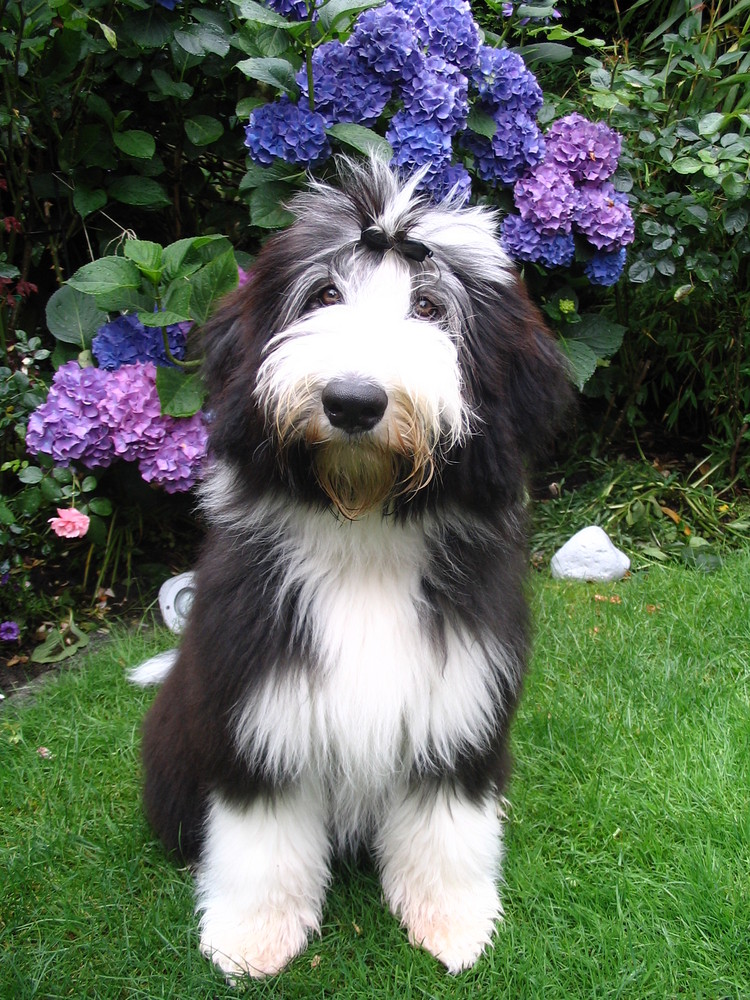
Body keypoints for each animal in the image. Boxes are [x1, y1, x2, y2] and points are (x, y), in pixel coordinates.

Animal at [134, 156, 568, 976]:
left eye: (429, 307)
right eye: (324, 295)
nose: (353, 401)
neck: (363, 530)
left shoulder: (457, 703)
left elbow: (445, 829)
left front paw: (452, 924)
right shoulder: (260, 710)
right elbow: (261, 840)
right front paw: (252, 938)